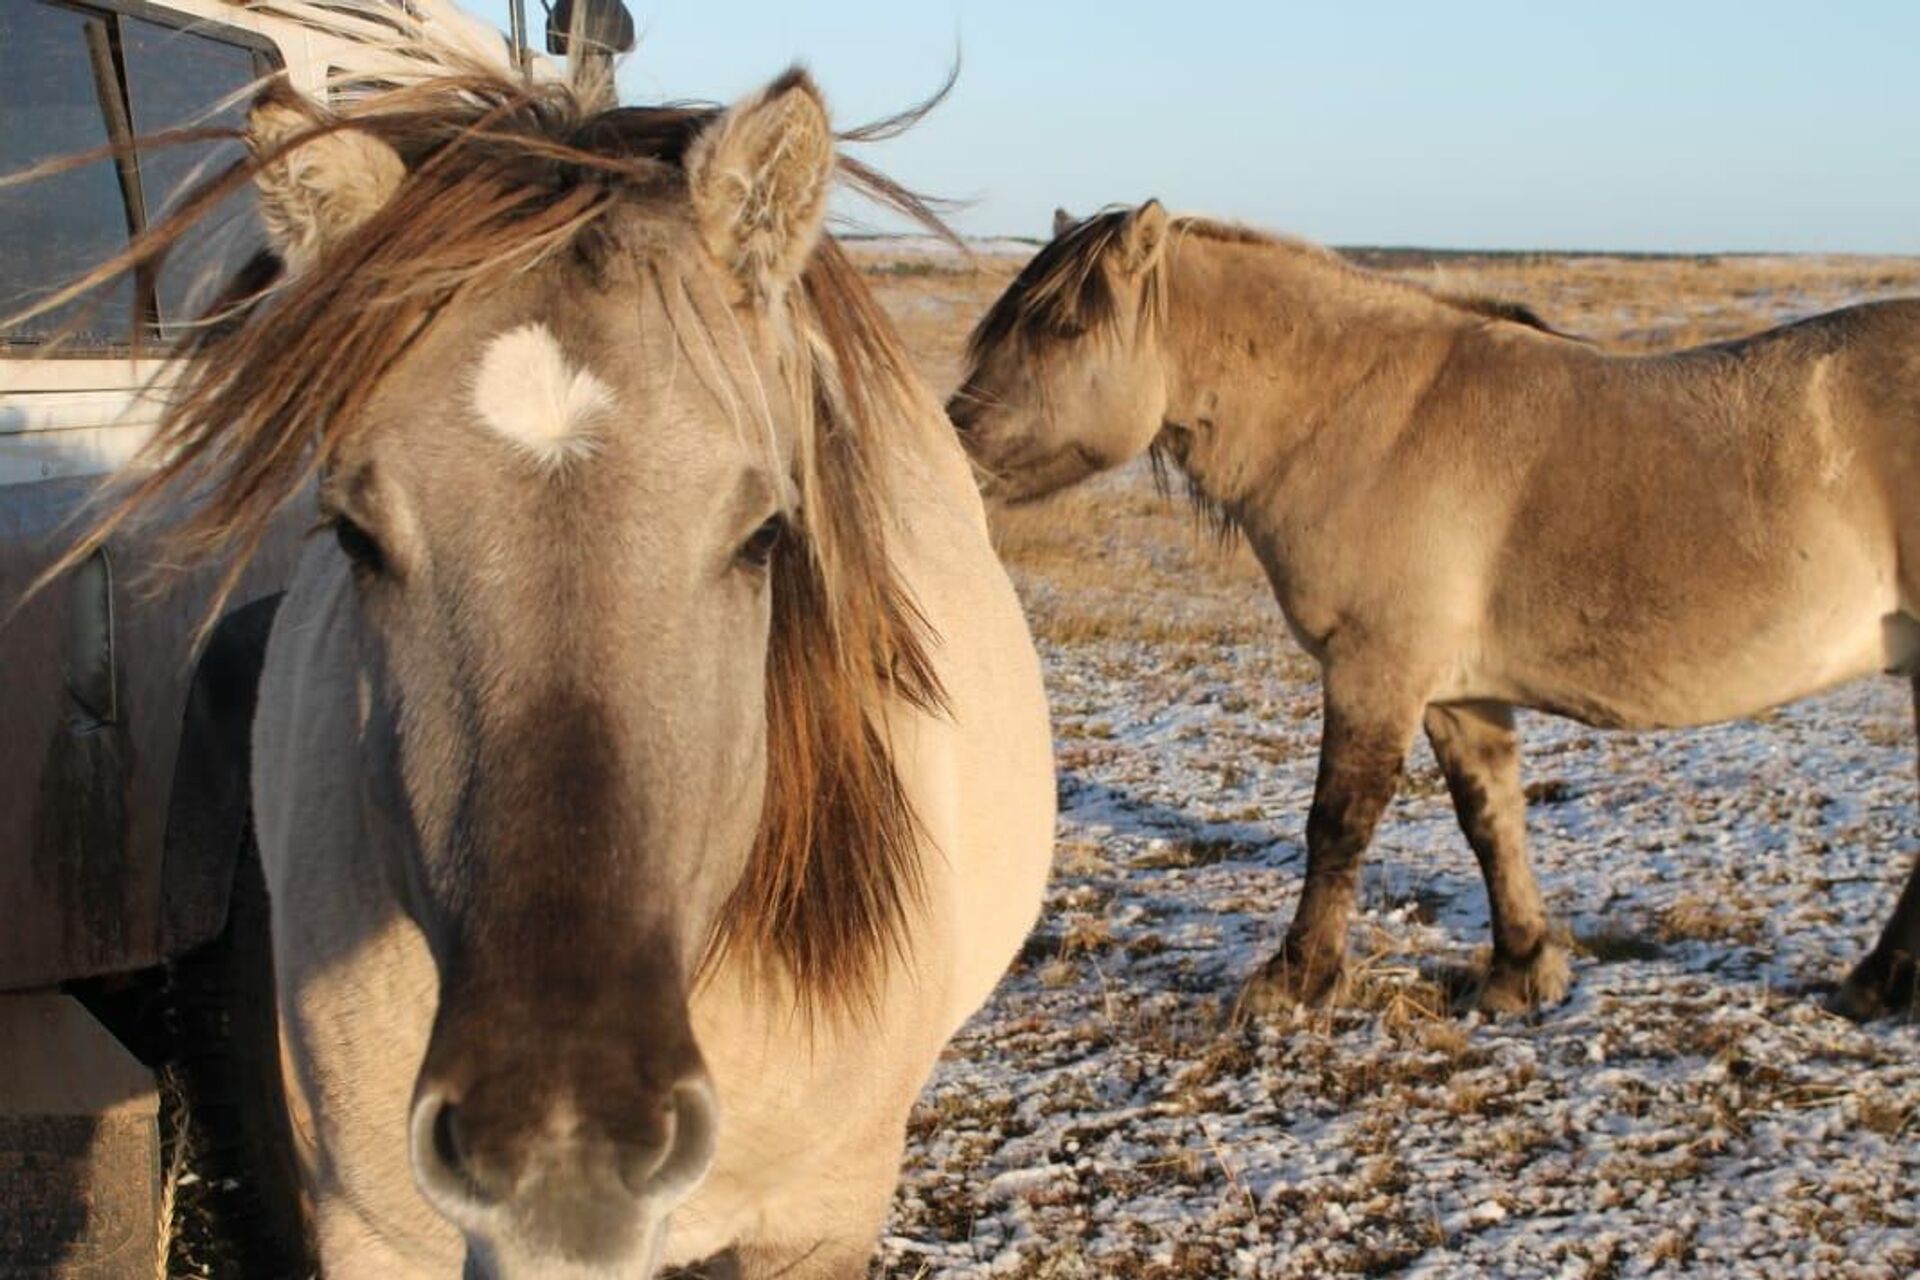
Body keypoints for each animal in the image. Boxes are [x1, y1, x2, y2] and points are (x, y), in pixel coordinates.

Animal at [948, 200, 1920, 1020]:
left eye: (1065, 327)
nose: (951, 453)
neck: (1372, 420)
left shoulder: (1376, 668)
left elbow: (1339, 821)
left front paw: (1295, 979)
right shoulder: (1457, 692)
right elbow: (1491, 821)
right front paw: (1521, 971)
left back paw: (1874, 985)